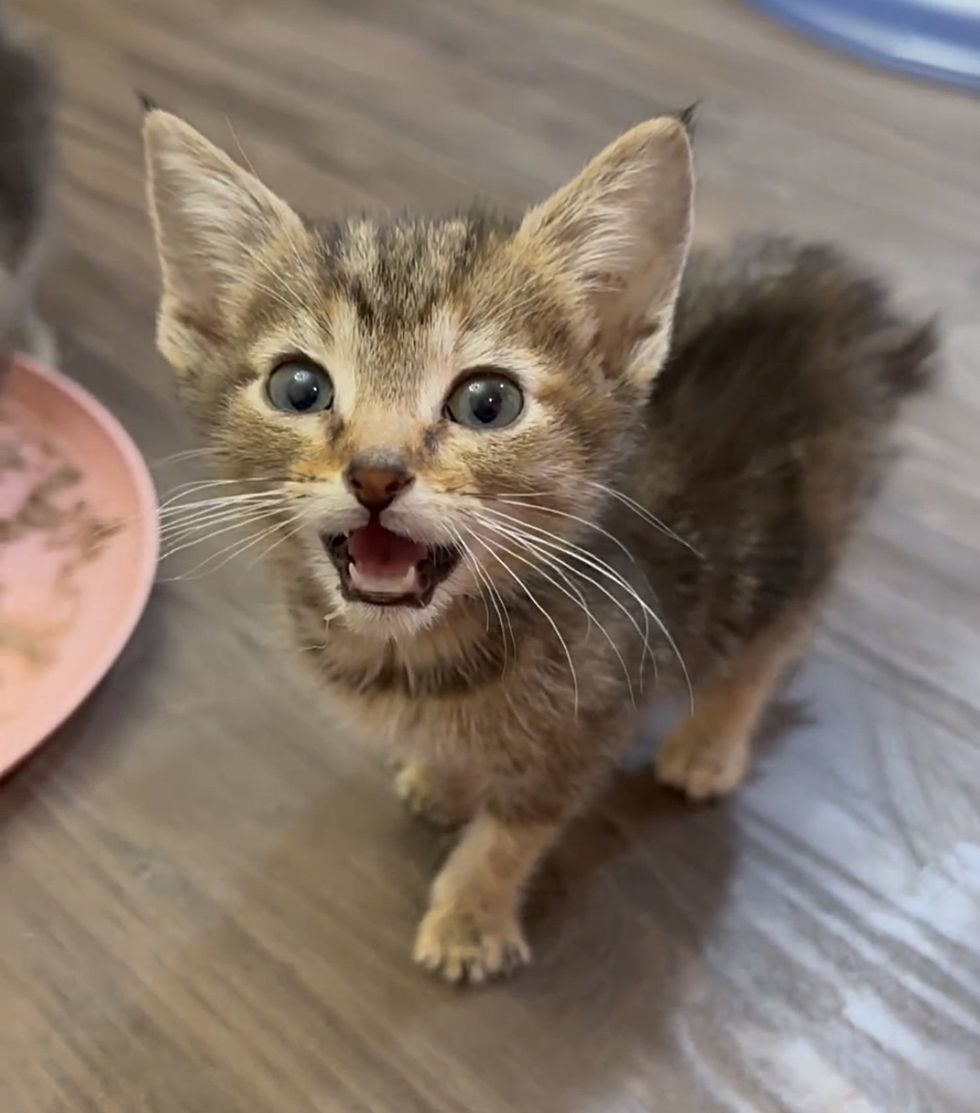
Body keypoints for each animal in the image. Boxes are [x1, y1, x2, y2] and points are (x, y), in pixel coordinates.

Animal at [143, 110, 934, 983]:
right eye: (298, 388)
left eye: (487, 403)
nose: (377, 473)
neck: (420, 659)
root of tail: (848, 300)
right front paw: (443, 777)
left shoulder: (588, 724)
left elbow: (509, 833)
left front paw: (469, 916)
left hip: (803, 538)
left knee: (771, 640)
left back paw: (709, 742)